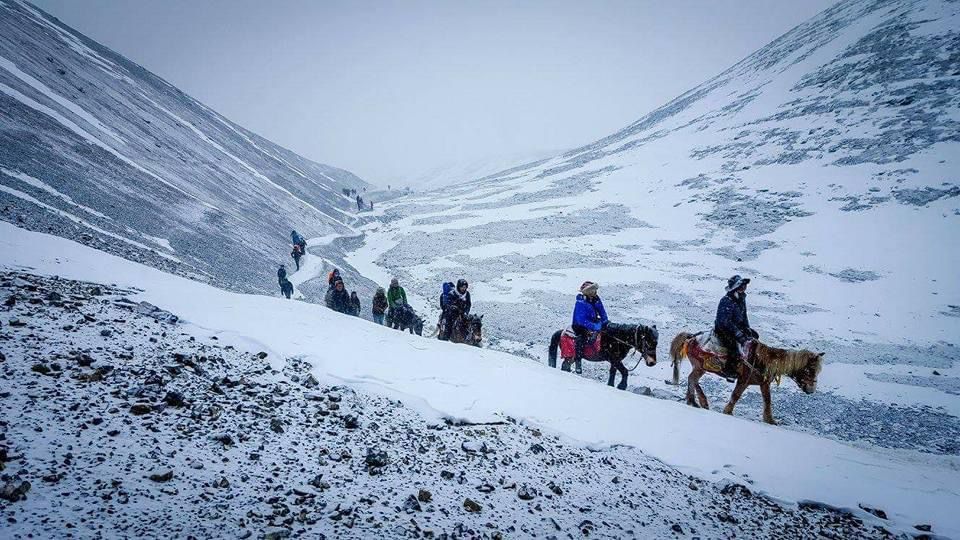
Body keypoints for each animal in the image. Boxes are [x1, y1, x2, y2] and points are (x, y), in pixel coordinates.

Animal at [668, 332, 824, 424]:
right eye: (810, 370)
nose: (811, 390)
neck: (763, 360)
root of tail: (691, 338)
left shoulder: (763, 383)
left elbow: (767, 400)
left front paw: (770, 419)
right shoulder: (744, 380)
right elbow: (735, 395)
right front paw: (728, 411)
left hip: (700, 368)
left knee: (693, 381)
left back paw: (697, 401)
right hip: (700, 368)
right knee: (692, 379)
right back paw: (695, 401)